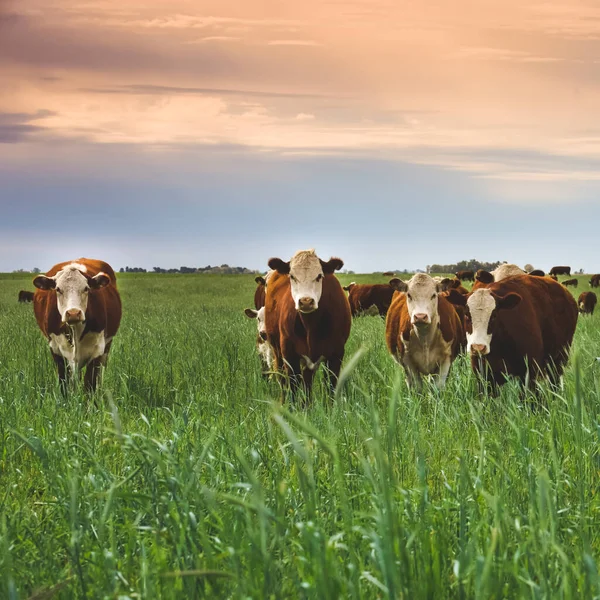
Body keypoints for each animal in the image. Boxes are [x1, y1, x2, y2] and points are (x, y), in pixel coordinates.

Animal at [33, 258, 123, 394]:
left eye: (86, 288)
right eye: (58, 289)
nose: (73, 313)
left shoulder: (97, 350)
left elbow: (90, 385)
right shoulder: (56, 350)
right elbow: (64, 384)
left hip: (106, 347)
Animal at [264, 250, 352, 404]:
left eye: (319, 276)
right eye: (292, 276)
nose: (306, 301)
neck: (311, 326)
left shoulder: (336, 354)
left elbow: (330, 388)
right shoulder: (289, 354)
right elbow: (293, 389)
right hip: (277, 351)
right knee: (284, 381)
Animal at [446, 274, 576, 392]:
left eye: (494, 316)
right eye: (466, 315)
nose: (478, 347)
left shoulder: (529, 374)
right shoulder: (484, 378)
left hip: (558, 361)